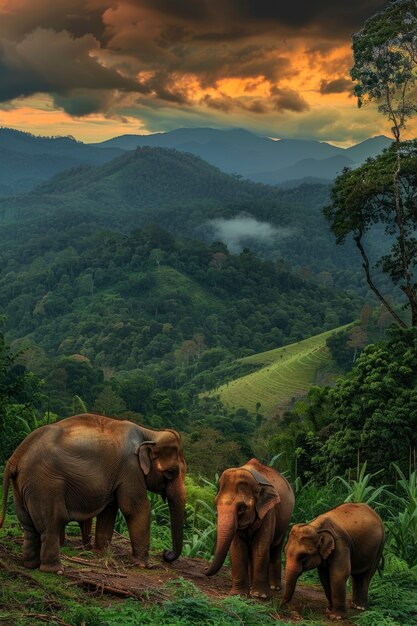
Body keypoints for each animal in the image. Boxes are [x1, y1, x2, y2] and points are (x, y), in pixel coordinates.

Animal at [0, 412, 185, 572]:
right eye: (171, 472)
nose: (166, 553)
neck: (150, 433)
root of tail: (15, 457)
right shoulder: (130, 469)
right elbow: (134, 509)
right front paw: (144, 565)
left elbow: (110, 508)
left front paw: (101, 552)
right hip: (45, 485)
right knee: (51, 524)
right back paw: (56, 570)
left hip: (22, 485)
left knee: (29, 527)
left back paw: (30, 565)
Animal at [203, 458, 294, 596]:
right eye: (215, 504)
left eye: (241, 508)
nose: (205, 568)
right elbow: (237, 547)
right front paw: (239, 594)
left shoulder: (269, 512)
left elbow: (261, 545)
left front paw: (260, 596)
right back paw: (251, 587)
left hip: (284, 523)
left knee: (275, 548)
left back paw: (274, 588)